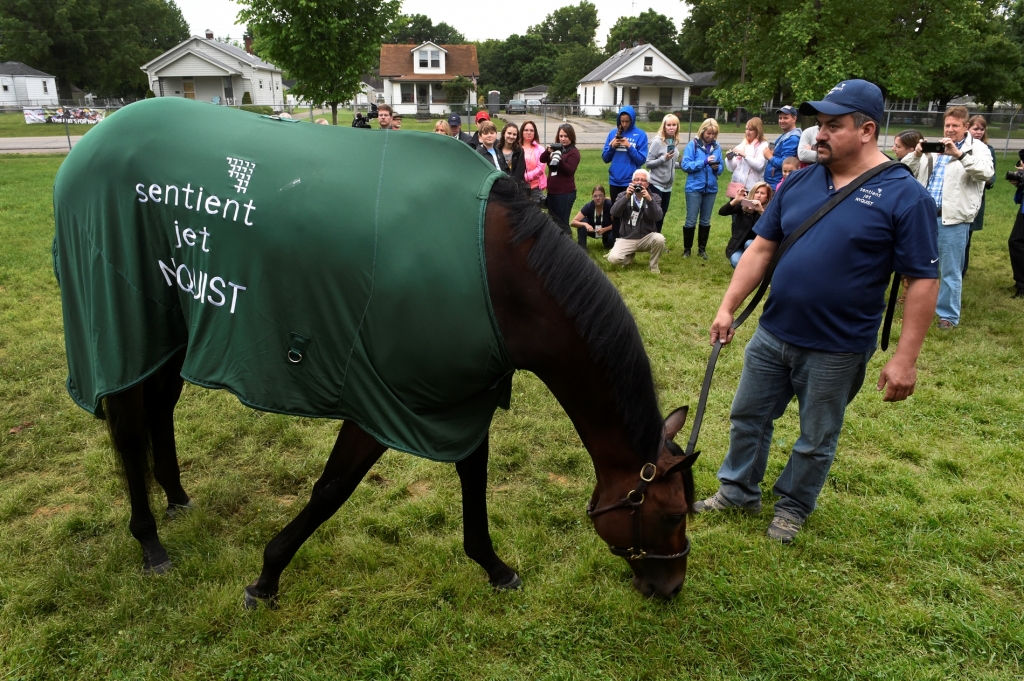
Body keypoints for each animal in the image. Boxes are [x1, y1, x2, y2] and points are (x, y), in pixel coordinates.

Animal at [51, 98, 700, 602]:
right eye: (671, 513)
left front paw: (494, 566)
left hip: (171, 328)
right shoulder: (382, 400)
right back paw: (149, 541)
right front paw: (266, 576)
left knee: (158, 409)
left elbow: (473, 481)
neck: (496, 273)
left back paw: (177, 498)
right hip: (118, 321)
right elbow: (332, 489)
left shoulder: (458, 399)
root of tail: (90, 145)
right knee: (128, 426)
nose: (670, 589)